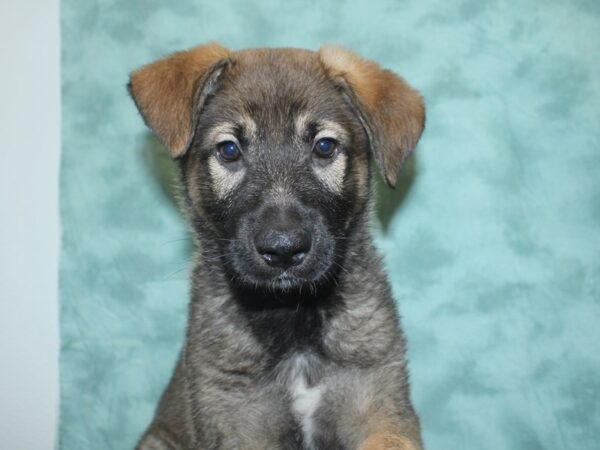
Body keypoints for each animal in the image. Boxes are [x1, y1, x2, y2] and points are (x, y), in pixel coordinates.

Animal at [128, 43, 424, 450]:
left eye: (325, 146)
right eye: (229, 150)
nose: (283, 249)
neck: (291, 316)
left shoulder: (381, 408)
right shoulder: (235, 418)